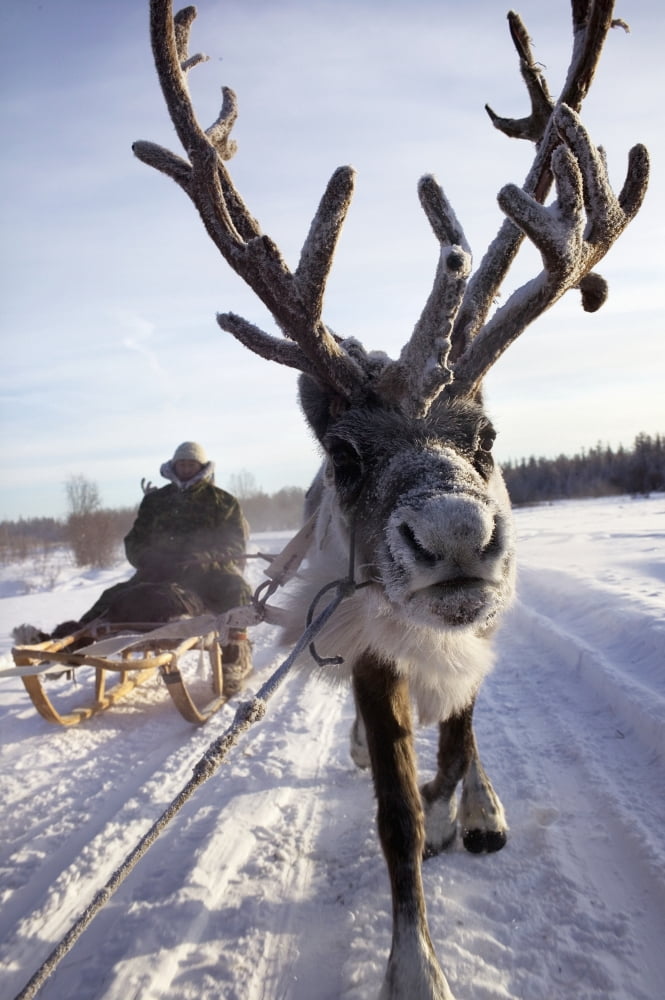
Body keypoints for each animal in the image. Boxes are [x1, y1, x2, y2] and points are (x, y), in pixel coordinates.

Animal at [133, 2, 648, 997]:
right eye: (343, 454)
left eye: (485, 438)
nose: (454, 536)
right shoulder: (367, 641)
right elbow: (395, 815)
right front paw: (414, 965)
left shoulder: (478, 621)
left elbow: (459, 735)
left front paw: (466, 807)